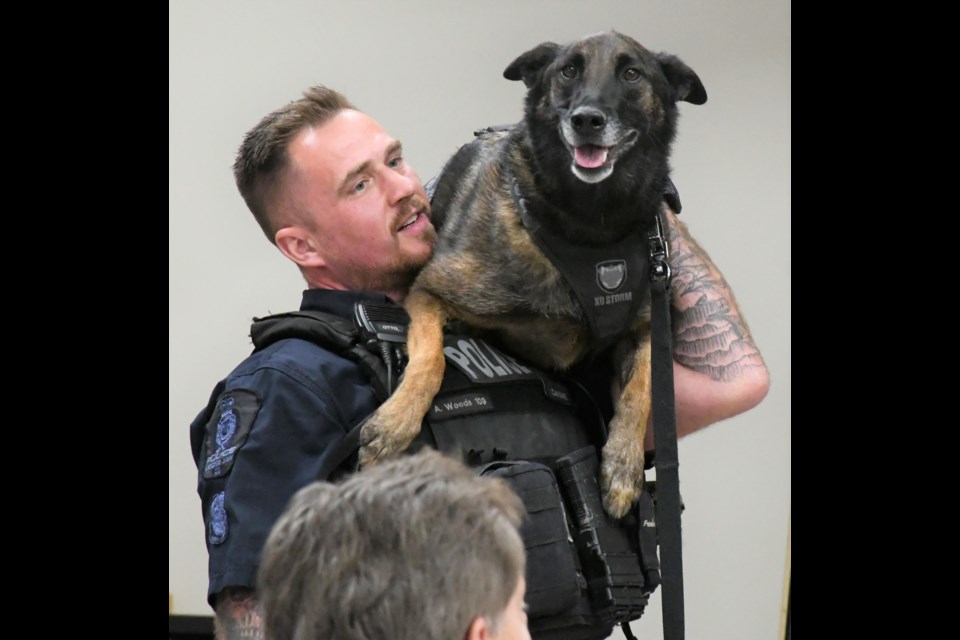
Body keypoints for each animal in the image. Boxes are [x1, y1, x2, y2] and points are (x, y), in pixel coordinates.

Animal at [360, 31, 704, 520]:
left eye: (632, 73)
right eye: (568, 70)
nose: (586, 119)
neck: (590, 225)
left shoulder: (650, 326)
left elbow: (640, 391)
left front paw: (623, 467)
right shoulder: (429, 291)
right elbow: (431, 358)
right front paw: (396, 421)